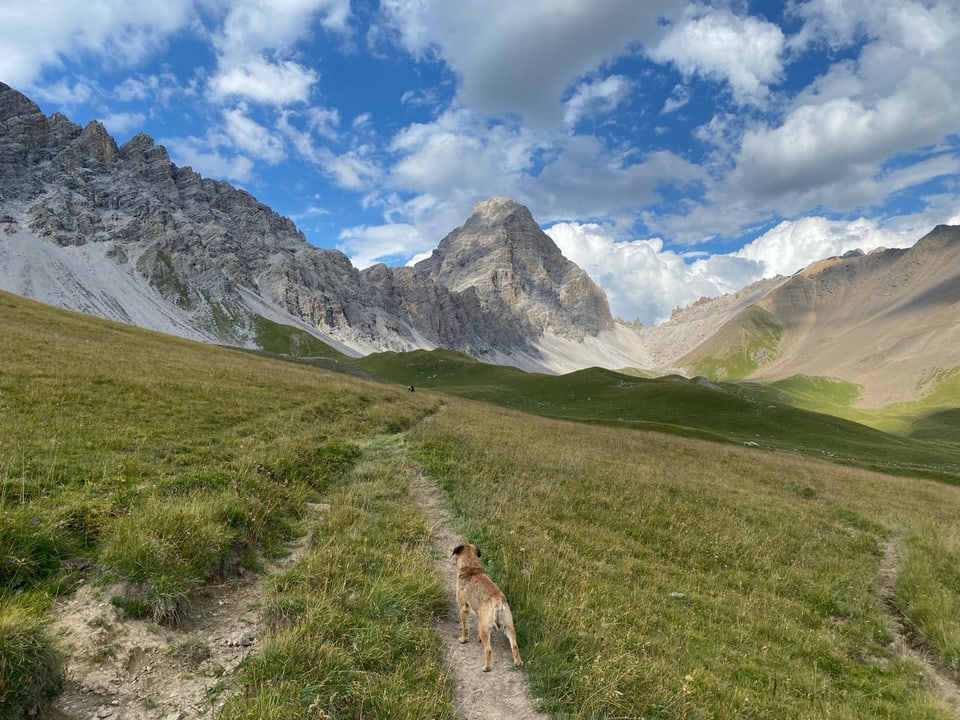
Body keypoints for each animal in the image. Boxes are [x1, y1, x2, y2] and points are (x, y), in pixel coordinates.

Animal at [452, 544, 524, 672]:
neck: (471, 567)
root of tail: (497, 600)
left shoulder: (463, 608)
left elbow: (465, 627)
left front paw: (464, 639)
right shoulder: (480, 616)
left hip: (487, 630)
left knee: (488, 650)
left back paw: (487, 667)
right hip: (509, 626)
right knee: (514, 645)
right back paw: (518, 662)